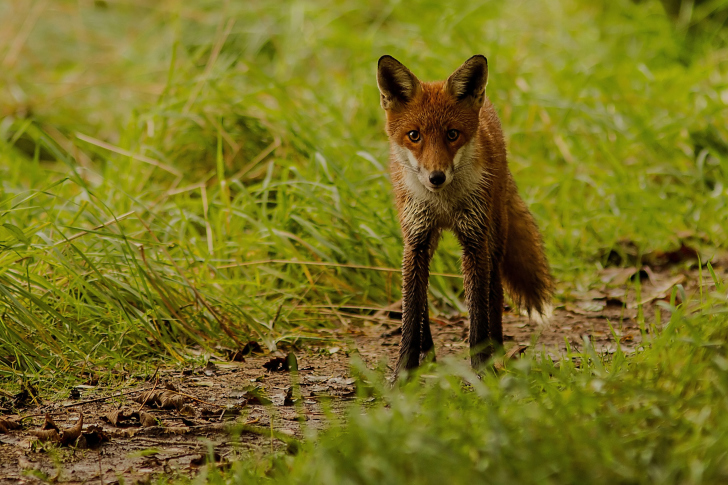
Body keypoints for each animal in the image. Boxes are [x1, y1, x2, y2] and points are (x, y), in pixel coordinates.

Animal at [376, 54, 552, 374]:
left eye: (452, 134)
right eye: (414, 136)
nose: (436, 177)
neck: (443, 204)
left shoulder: (474, 242)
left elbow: (478, 314)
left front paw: (483, 369)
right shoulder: (416, 240)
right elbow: (411, 312)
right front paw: (404, 372)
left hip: (494, 236)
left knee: (495, 292)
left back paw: (498, 350)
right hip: (427, 241)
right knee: (424, 299)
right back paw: (428, 352)